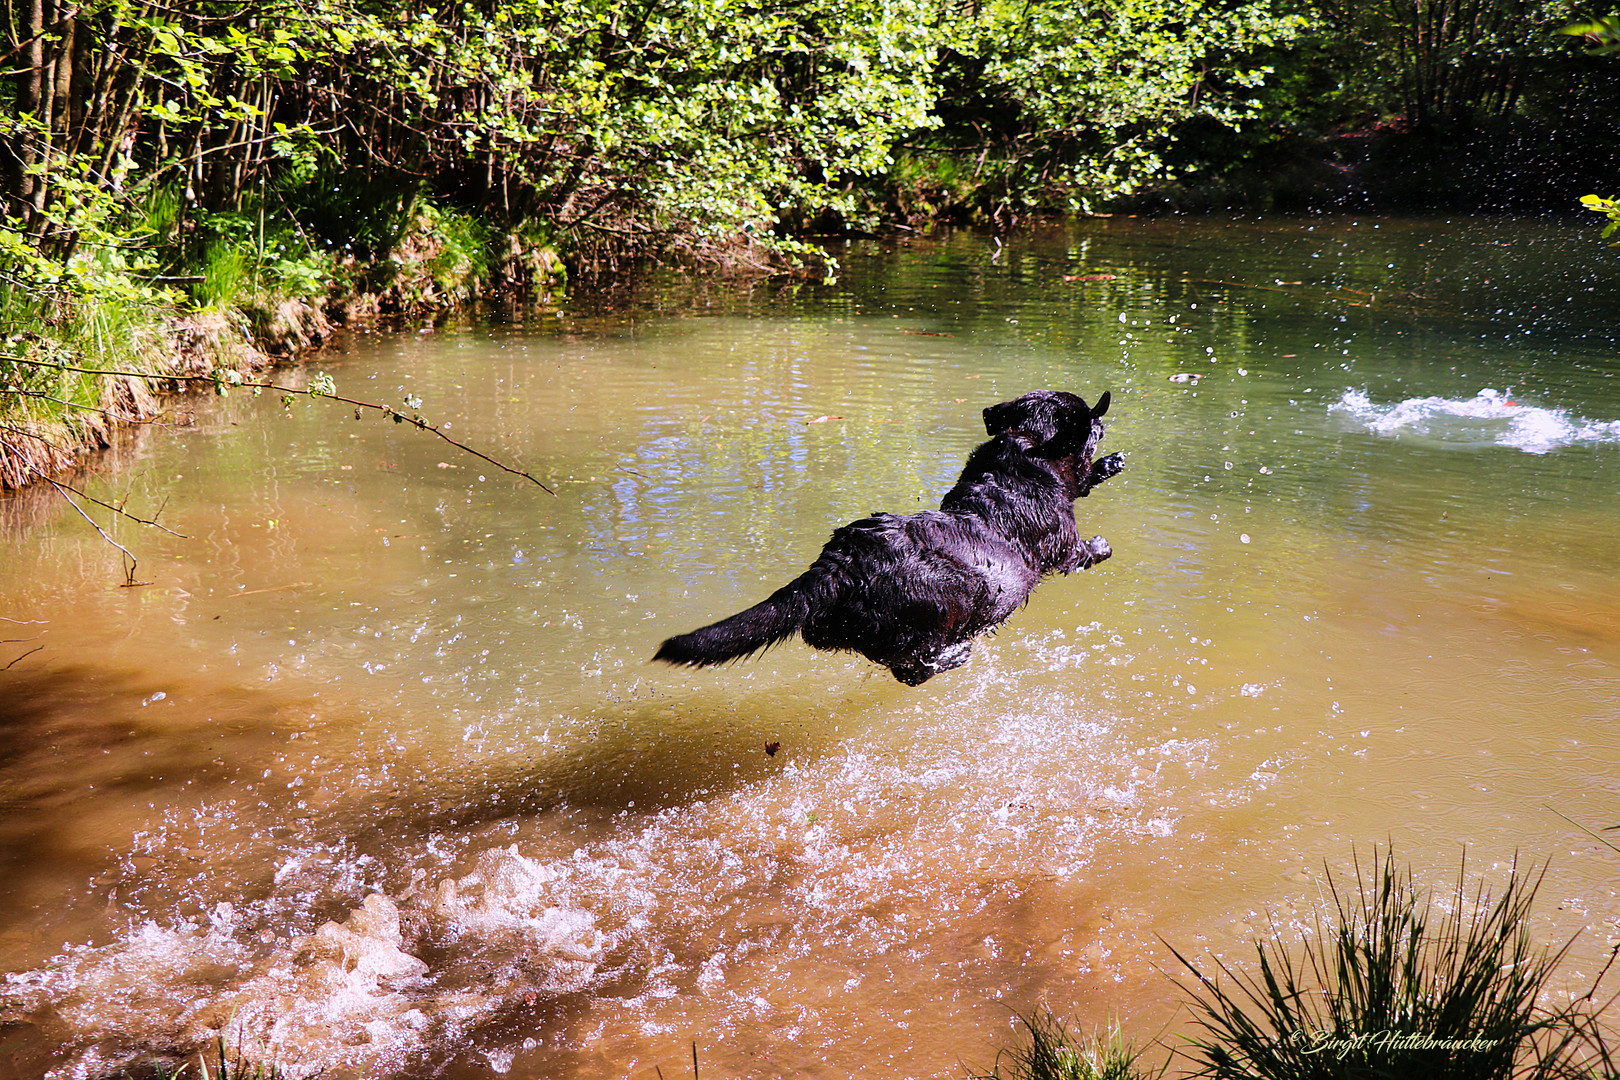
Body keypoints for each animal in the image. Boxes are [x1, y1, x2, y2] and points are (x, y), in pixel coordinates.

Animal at [651, 393, 1121, 683]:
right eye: (1090, 422)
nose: (1101, 421)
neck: (1024, 448)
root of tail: (839, 565)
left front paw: (1110, 465)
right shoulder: (1063, 542)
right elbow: (1081, 548)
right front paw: (1102, 543)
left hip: (834, 626)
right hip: (950, 595)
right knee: (910, 667)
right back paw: (954, 654)